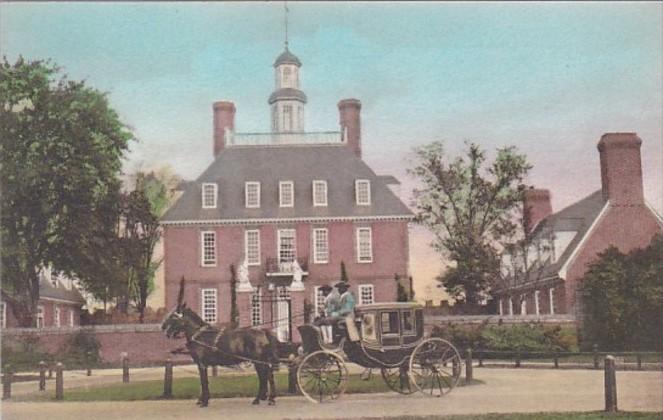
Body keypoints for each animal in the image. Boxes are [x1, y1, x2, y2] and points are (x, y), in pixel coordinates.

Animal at [164, 278, 282, 406]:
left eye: (174, 316)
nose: (164, 328)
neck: (199, 335)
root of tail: (263, 332)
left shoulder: (201, 364)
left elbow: (204, 381)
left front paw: (204, 401)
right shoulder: (203, 364)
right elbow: (204, 382)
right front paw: (203, 400)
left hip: (258, 360)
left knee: (266, 376)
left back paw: (268, 399)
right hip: (259, 361)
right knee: (264, 376)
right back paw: (261, 398)